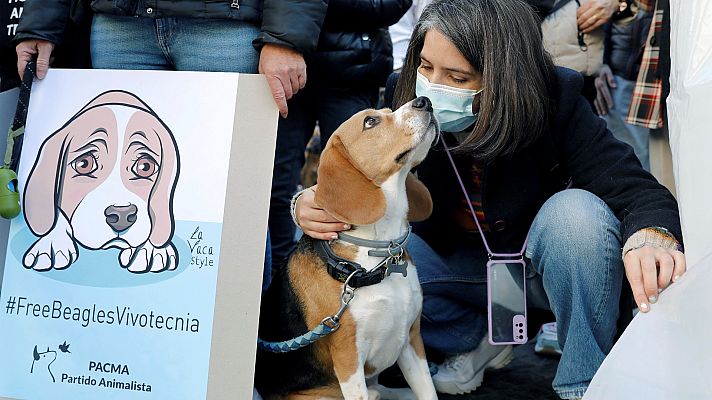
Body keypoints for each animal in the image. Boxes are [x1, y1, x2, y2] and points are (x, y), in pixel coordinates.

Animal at [253, 95, 436, 398]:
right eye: (370, 121)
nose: (425, 101)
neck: (380, 253)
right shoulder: (348, 358)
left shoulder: (412, 340)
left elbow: (428, 392)